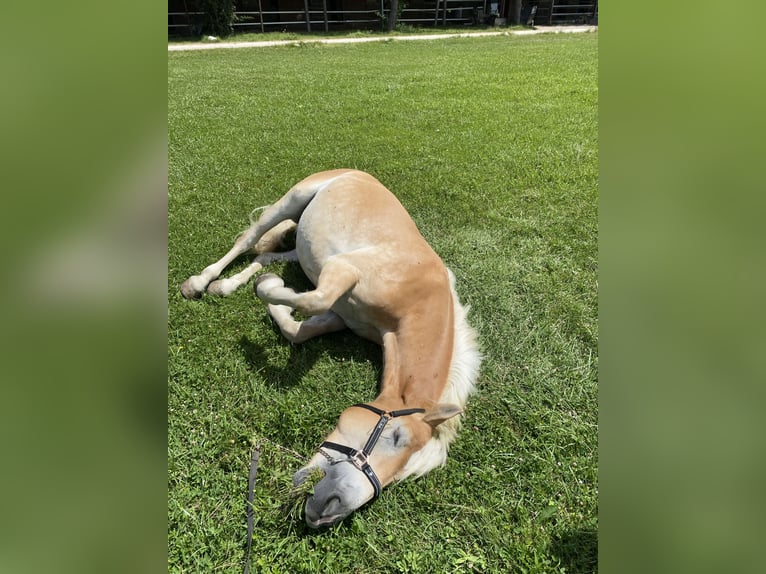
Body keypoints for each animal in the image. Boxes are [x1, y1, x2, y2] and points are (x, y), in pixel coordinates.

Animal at [180, 169, 480, 528]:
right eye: (397, 438)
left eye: (400, 474)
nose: (329, 510)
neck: (415, 299)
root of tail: (357, 172)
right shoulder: (342, 270)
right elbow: (312, 299)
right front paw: (271, 286)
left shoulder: (340, 315)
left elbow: (298, 330)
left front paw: (275, 300)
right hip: (291, 201)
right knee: (248, 240)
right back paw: (200, 283)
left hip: (301, 245)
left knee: (265, 256)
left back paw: (226, 285)